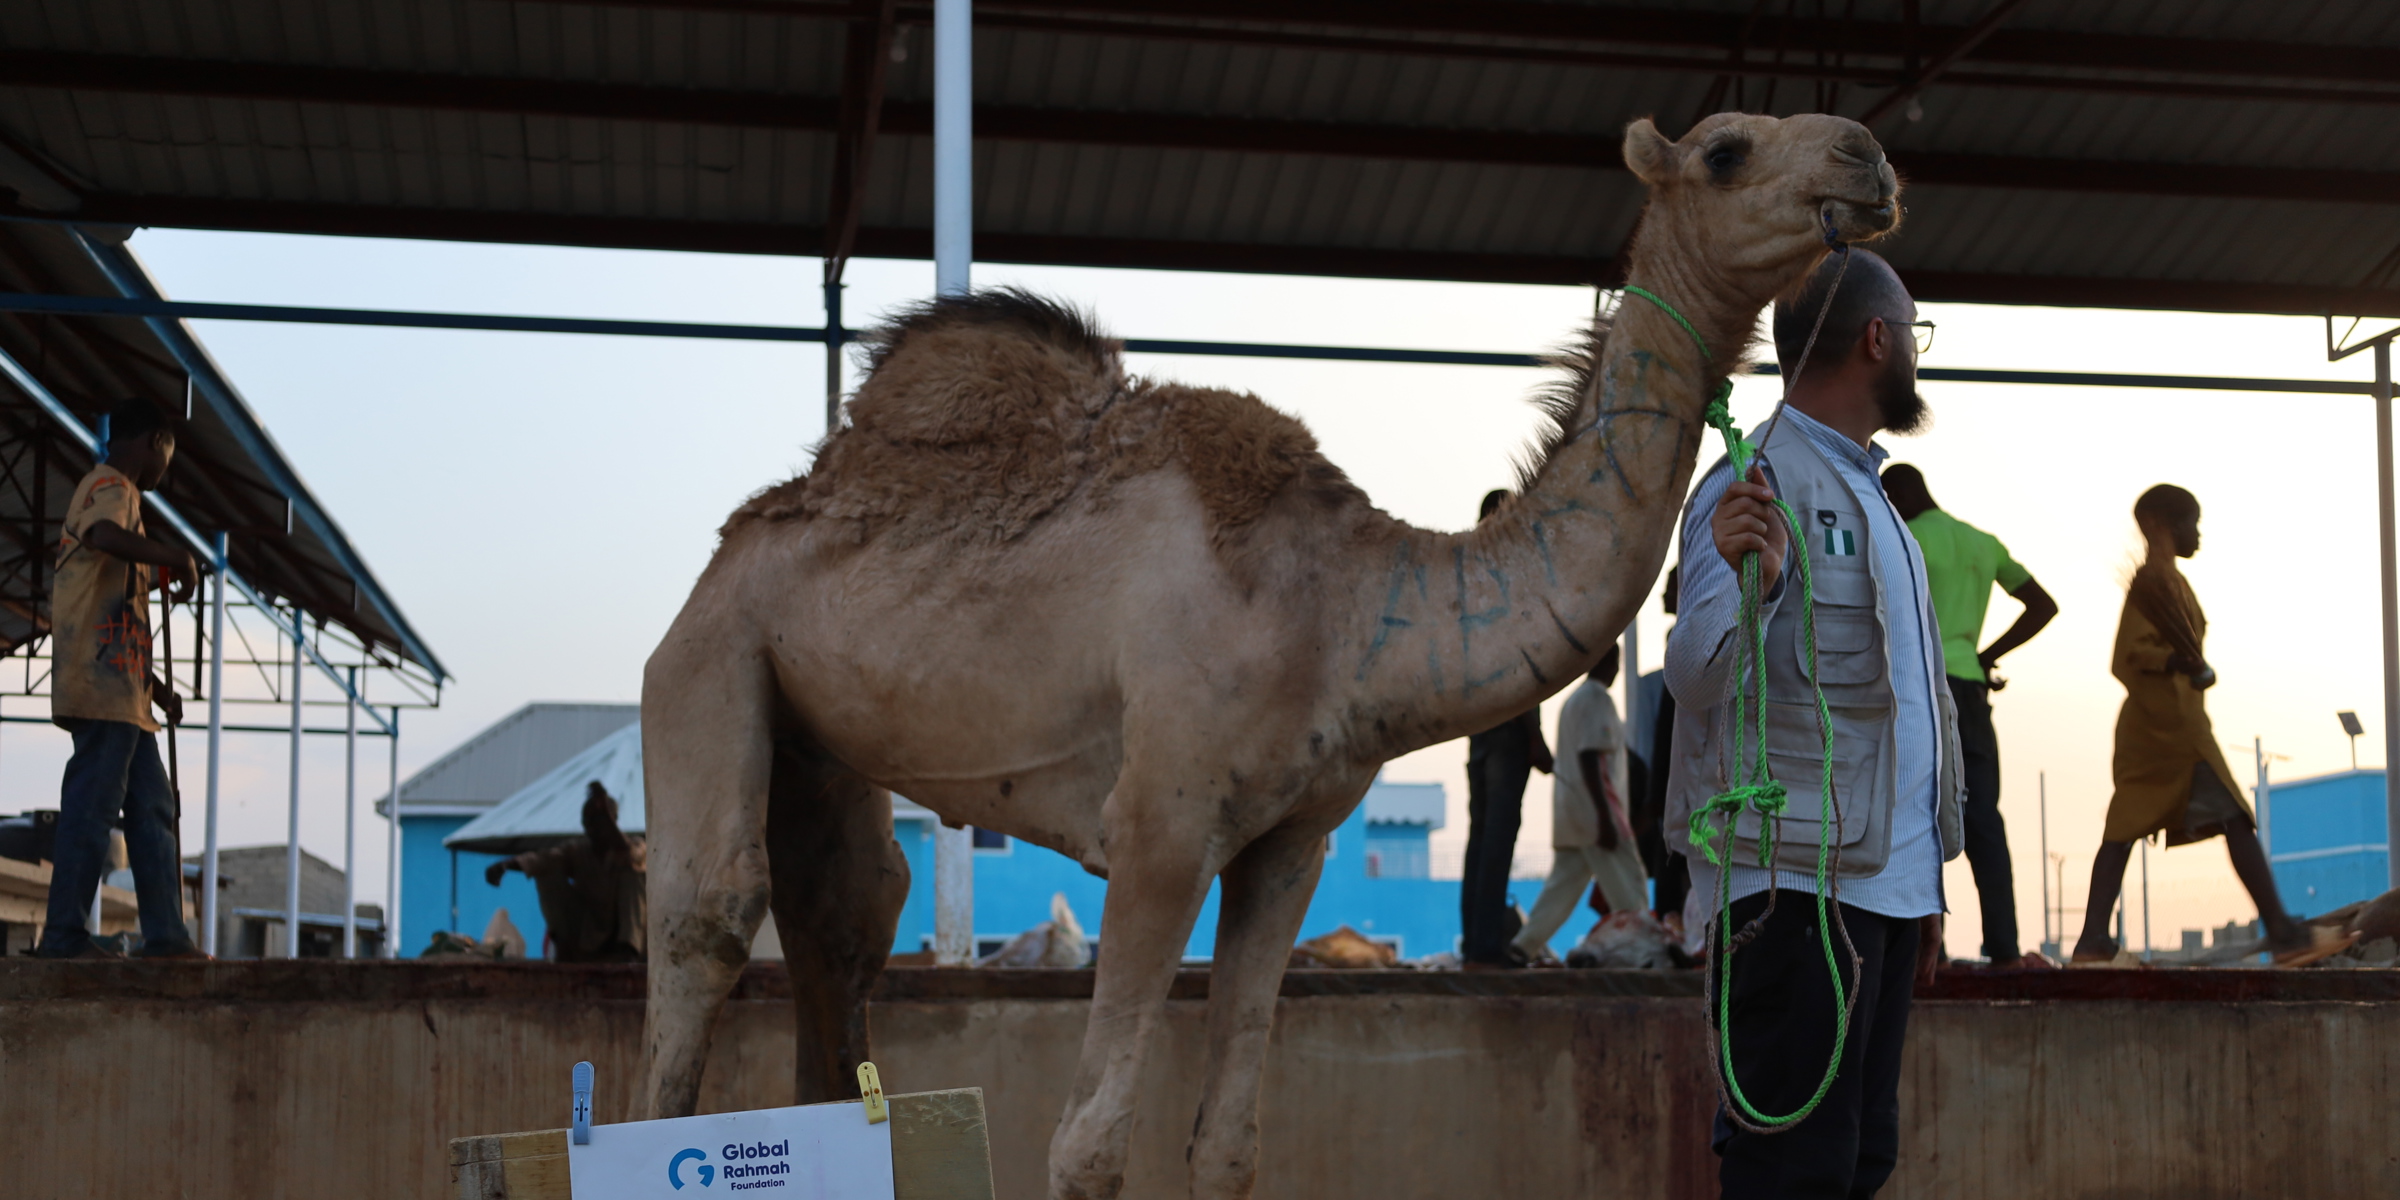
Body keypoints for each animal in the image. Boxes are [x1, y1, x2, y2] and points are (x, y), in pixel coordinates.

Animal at [640, 111, 1899, 1200]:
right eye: (1727, 148)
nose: (1869, 157)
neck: (1346, 609)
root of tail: (748, 528)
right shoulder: (1158, 825)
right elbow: (1088, 1145)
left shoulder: (1292, 841)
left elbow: (1228, 1143)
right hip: (709, 660)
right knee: (711, 922)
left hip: (819, 740)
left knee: (846, 918)